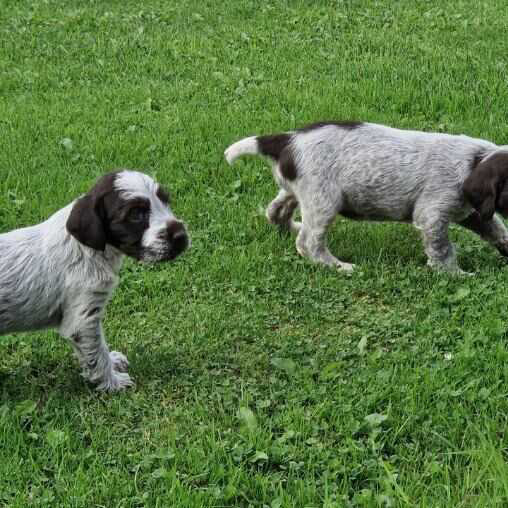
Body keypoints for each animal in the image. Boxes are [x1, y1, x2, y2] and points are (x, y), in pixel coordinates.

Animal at [0, 169, 189, 390]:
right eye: (136, 214)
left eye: (165, 200)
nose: (181, 236)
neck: (88, 250)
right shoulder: (83, 319)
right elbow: (97, 355)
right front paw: (113, 382)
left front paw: (114, 362)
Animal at [226, 120, 508, 274]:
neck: (474, 161)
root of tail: (287, 140)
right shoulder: (432, 213)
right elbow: (443, 250)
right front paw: (455, 274)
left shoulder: (472, 212)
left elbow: (496, 229)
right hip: (323, 201)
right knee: (309, 243)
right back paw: (340, 266)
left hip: (296, 191)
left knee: (276, 211)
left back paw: (289, 226)